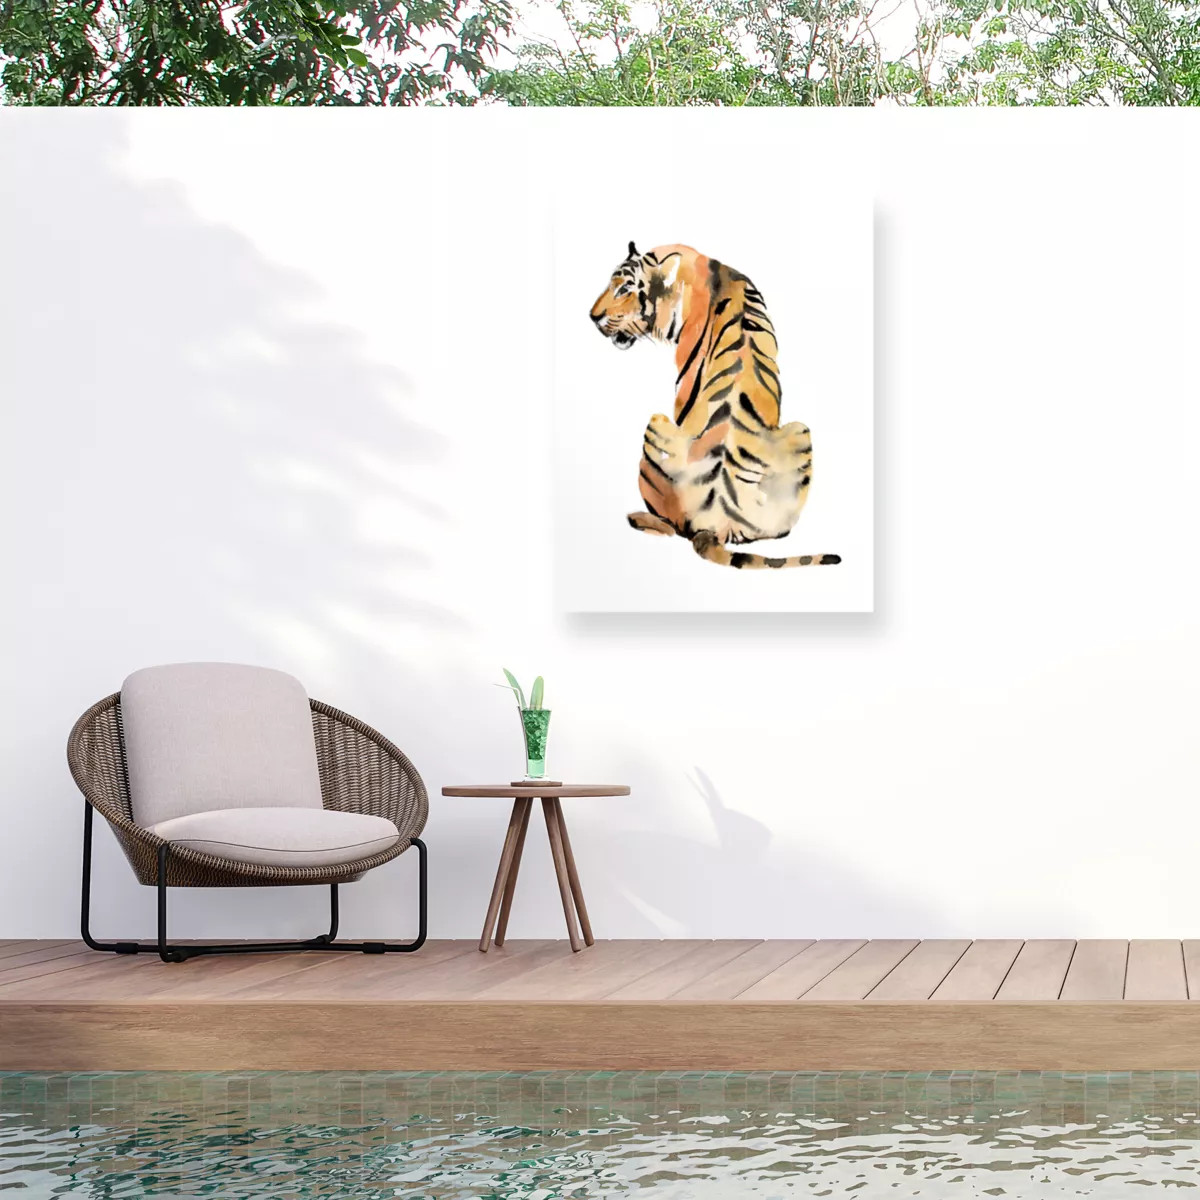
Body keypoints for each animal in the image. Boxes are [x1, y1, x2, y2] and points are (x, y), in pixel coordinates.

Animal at [589, 242, 841, 570]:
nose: (591, 316)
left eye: (625, 289)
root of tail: (716, 523)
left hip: (656, 424)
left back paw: (639, 518)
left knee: (673, 528)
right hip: (800, 434)